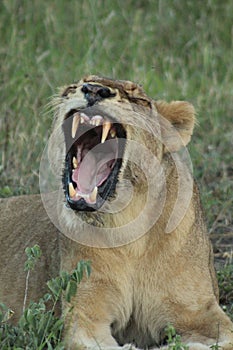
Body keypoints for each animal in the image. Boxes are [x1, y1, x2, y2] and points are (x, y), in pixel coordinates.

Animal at [0, 75, 233, 348]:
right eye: (77, 85)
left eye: (139, 99)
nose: (93, 90)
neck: (132, 232)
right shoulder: (84, 315)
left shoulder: (201, 310)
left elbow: (217, 340)